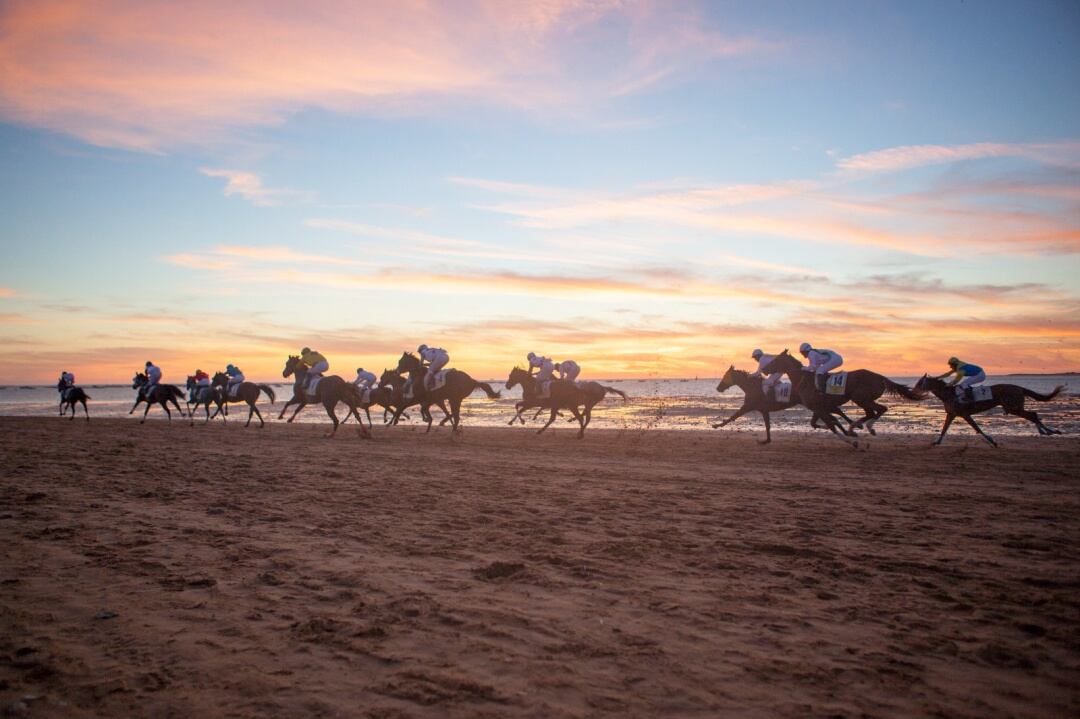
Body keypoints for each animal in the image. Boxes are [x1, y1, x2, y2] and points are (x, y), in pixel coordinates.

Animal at [712, 364, 855, 442]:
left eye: (725, 376)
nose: (718, 388)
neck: (753, 386)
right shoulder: (763, 410)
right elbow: (767, 426)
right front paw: (767, 440)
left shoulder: (748, 406)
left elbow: (733, 416)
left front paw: (717, 425)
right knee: (834, 415)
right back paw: (848, 431)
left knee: (835, 413)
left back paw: (849, 430)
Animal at [764, 345, 924, 440]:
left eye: (775, 359)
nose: (764, 369)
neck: (804, 379)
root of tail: (880, 377)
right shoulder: (819, 407)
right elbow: (820, 422)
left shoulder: (819, 407)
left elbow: (829, 421)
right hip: (863, 399)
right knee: (872, 412)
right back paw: (857, 427)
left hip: (861, 398)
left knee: (878, 410)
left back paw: (864, 427)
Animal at [911, 371, 1062, 444]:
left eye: (919, 383)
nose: (912, 391)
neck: (949, 394)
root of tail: (1019, 388)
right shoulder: (951, 414)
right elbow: (944, 429)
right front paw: (936, 442)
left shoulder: (965, 414)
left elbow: (977, 428)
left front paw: (992, 441)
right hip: (1014, 408)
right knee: (1033, 415)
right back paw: (1046, 431)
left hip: (1013, 407)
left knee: (1033, 415)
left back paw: (1050, 431)